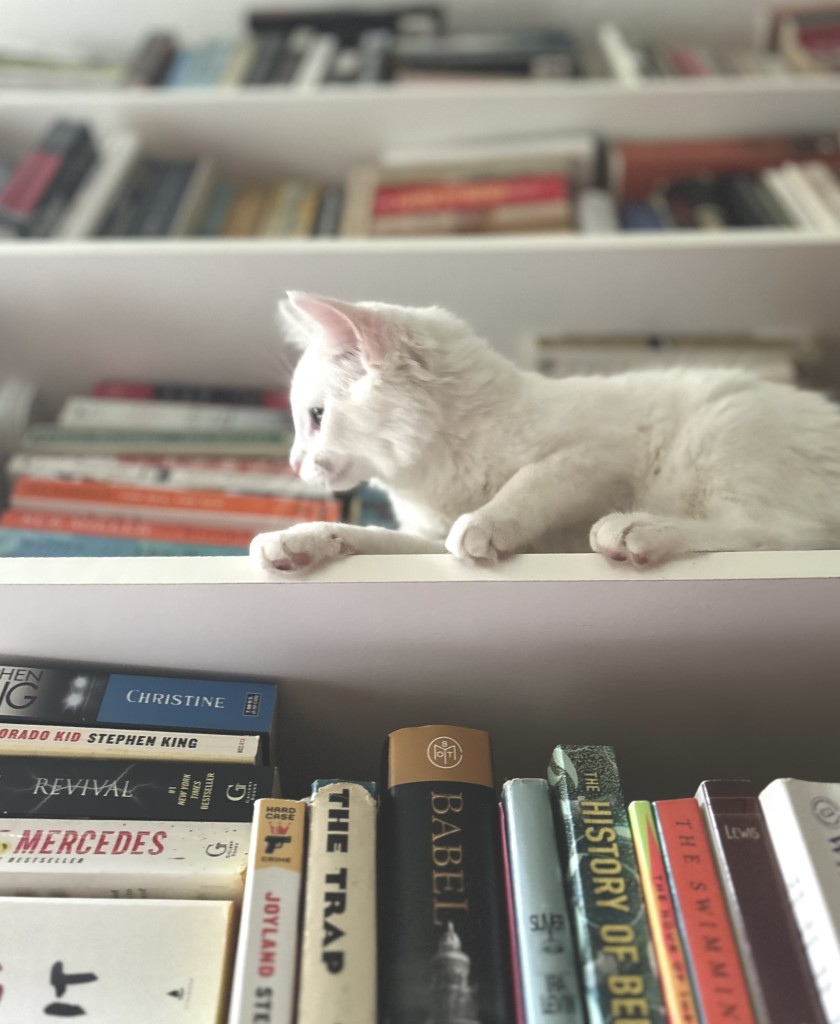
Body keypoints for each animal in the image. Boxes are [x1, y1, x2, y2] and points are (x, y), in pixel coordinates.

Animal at [253, 292, 840, 573]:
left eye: (316, 417)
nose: (294, 462)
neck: (436, 473)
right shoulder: (423, 542)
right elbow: (371, 538)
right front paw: (301, 540)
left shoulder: (597, 452)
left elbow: (531, 484)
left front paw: (486, 523)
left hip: (726, 430)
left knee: (778, 535)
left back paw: (636, 531)